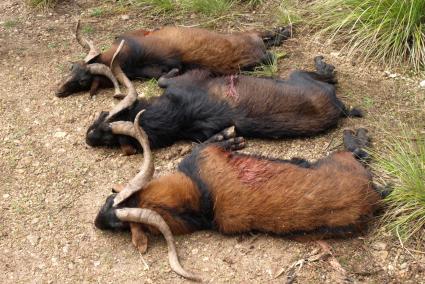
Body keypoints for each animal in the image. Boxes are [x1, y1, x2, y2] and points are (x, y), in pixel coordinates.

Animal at [55, 20, 292, 97]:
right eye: (72, 68)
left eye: (83, 81)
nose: (58, 91)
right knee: (272, 38)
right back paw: (285, 31)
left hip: (256, 50)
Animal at [85, 42, 362, 156]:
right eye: (111, 139)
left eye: (106, 116)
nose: (88, 138)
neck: (179, 114)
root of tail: (341, 107)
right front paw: (226, 140)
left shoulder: (189, 80)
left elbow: (164, 80)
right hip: (299, 77)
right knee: (330, 78)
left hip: (296, 75)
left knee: (329, 75)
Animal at [94, 112, 382, 280]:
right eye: (110, 208)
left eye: (117, 219)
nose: (96, 222)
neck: (201, 199)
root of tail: (370, 197)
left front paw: (227, 137)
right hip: (342, 163)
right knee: (358, 154)